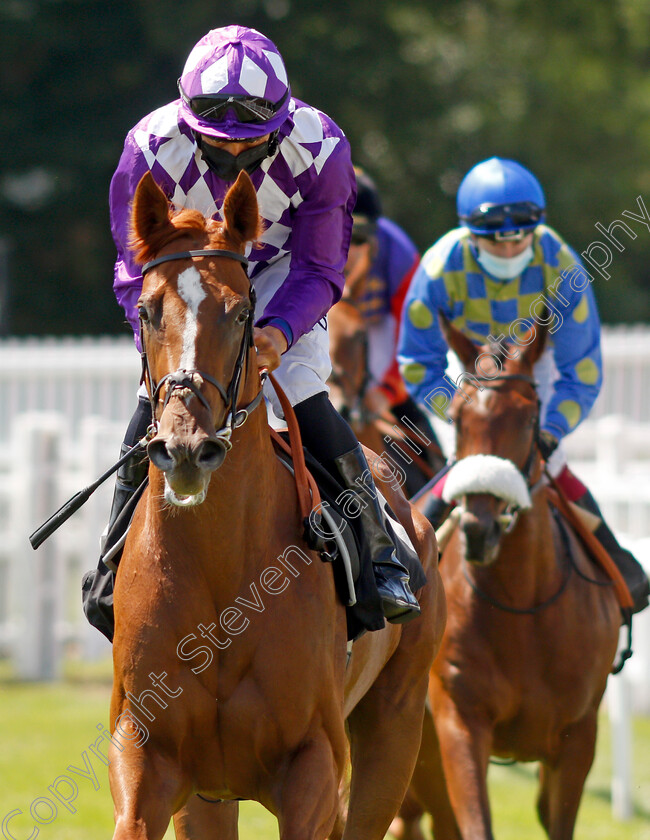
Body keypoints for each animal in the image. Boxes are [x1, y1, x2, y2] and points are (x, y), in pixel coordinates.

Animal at [109, 171, 442, 840]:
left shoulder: (312, 765)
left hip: (394, 729)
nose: (186, 448)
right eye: (148, 310)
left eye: (242, 312)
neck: (218, 574)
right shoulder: (146, 755)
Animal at [402, 320, 620, 840]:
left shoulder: (578, 737)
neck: (524, 608)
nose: (479, 530)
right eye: (458, 418)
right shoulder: (459, 723)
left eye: (527, 418)